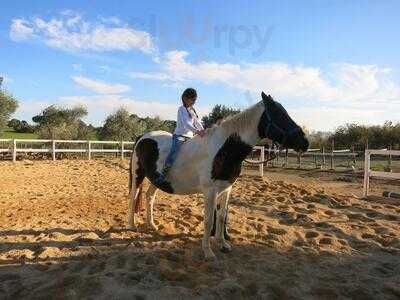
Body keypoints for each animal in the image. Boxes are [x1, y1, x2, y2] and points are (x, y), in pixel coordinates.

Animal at [126, 91, 308, 258]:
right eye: (278, 114)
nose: (305, 142)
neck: (224, 149)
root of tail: (142, 137)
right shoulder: (210, 191)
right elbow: (208, 220)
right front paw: (208, 251)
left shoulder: (226, 189)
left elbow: (221, 217)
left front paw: (222, 244)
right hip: (138, 175)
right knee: (133, 196)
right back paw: (132, 225)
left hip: (156, 179)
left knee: (149, 197)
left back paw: (152, 225)